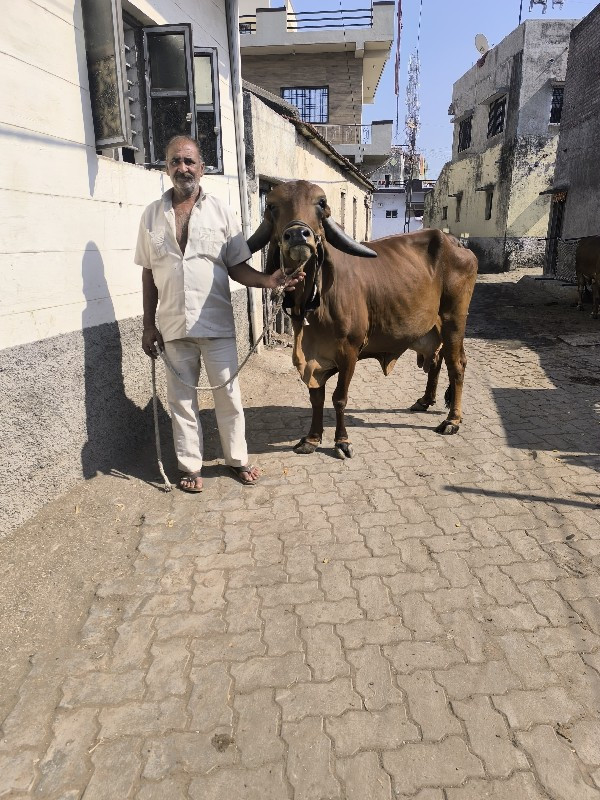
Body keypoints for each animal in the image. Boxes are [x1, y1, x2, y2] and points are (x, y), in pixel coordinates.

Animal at [247, 180, 478, 456]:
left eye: (321, 203)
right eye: (272, 206)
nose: (298, 235)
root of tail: (455, 242)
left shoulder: (349, 351)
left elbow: (339, 398)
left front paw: (342, 441)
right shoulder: (313, 355)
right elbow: (316, 398)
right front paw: (312, 438)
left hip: (454, 320)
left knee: (457, 365)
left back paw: (452, 419)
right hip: (434, 327)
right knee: (436, 360)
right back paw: (425, 401)